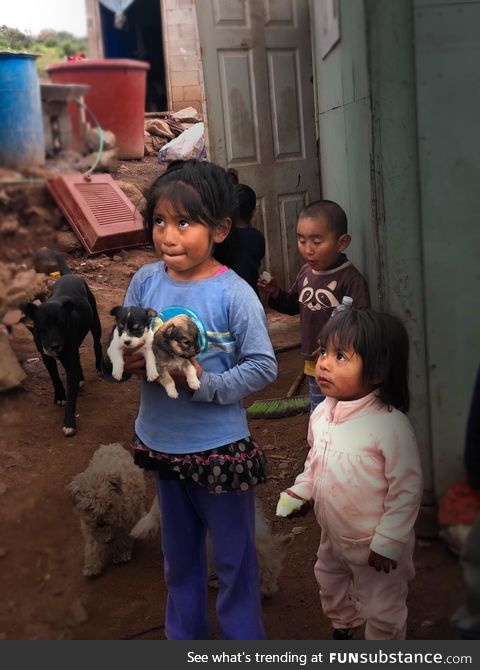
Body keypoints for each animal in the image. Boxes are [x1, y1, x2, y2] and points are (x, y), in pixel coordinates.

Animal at [21, 274, 103, 438]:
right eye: (43, 327)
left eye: (61, 324)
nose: (55, 346)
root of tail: (69, 274)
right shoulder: (46, 358)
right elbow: (55, 378)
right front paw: (59, 396)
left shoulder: (70, 363)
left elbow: (72, 397)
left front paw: (69, 424)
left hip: (95, 323)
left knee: (97, 344)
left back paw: (99, 366)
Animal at [66, 446, 147, 576]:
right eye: (89, 508)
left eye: (108, 505)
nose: (101, 523)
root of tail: (112, 445)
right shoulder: (90, 526)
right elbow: (93, 546)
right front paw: (91, 566)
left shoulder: (124, 522)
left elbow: (123, 539)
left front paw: (121, 555)